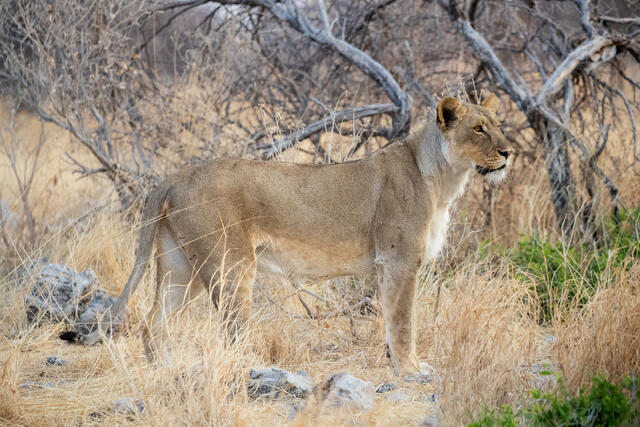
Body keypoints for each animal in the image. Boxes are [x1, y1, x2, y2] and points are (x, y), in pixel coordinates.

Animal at [80, 93, 513, 380]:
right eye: (478, 128)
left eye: (500, 126)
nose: (509, 152)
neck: (445, 178)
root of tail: (173, 175)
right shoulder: (399, 260)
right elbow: (404, 321)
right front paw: (411, 370)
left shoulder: (391, 265)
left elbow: (392, 320)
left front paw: (398, 364)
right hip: (231, 266)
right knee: (231, 333)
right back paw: (255, 371)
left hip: (179, 266)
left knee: (153, 322)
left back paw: (165, 371)